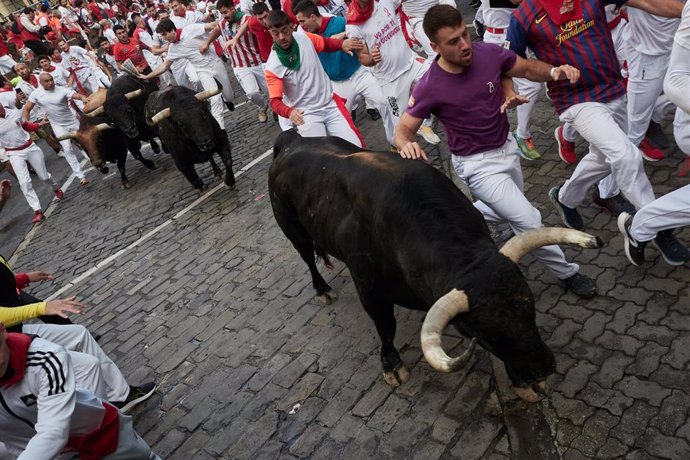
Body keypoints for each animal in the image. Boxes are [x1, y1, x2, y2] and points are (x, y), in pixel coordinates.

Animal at [266, 129, 600, 402]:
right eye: (483, 333)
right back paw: (322, 290)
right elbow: (385, 327)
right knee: (308, 258)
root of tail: (291, 140)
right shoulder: (369, 288)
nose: (543, 369)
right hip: (292, 229)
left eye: (530, 308)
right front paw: (392, 366)